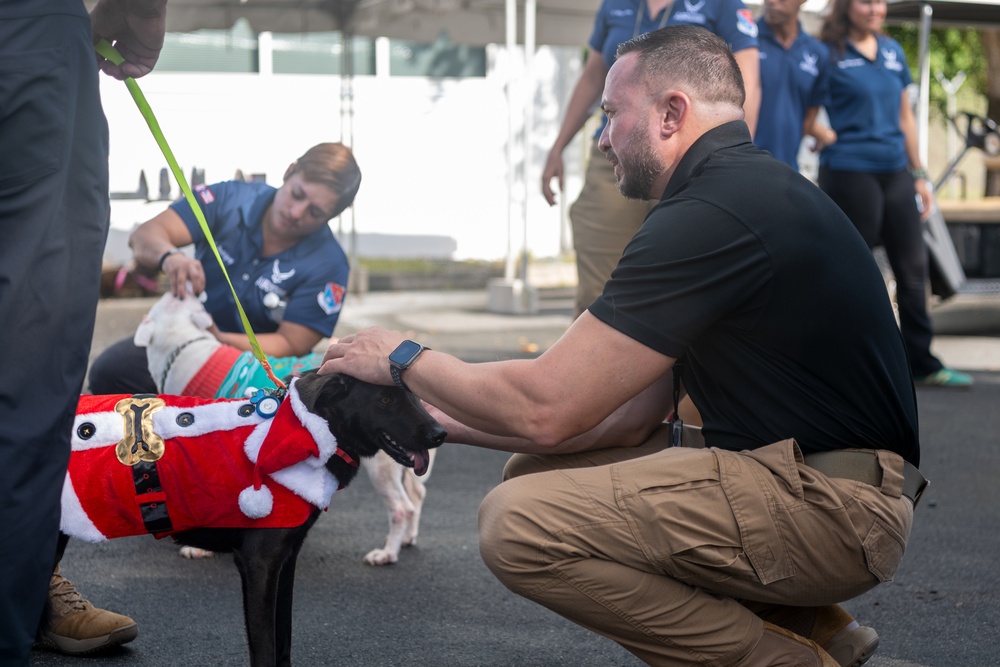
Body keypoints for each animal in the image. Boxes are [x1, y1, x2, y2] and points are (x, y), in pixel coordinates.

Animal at [51, 374, 446, 664]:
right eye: (384, 400)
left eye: (412, 394)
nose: (440, 433)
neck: (305, 433)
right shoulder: (259, 565)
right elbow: (266, 649)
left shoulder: (286, 562)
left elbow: (284, 640)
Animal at [134, 292, 438, 564]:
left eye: (178, 298)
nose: (185, 287)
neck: (186, 344)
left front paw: (199, 547)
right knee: (417, 493)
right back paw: (408, 538)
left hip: (382, 466)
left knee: (402, 508)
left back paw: (388, 552)